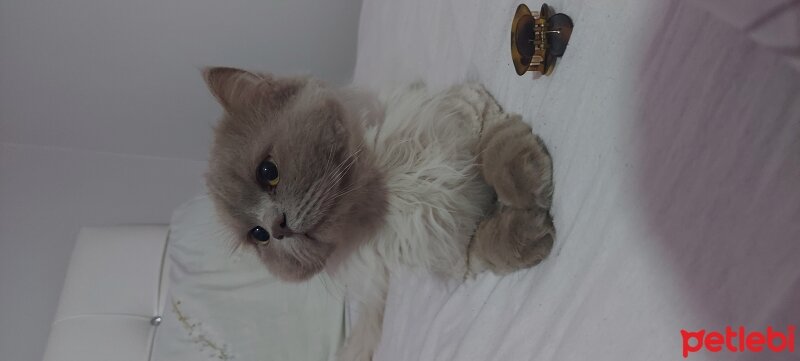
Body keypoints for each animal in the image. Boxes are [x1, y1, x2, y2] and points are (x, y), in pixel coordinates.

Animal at [202, 66, 556, 358]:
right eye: (258, 236)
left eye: (268, 172)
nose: (277, 228)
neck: (389, 195)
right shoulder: (455, 254)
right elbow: (495, 241)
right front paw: (534, 231)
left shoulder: (468, 115)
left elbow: (495, 152)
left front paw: (528, 177)